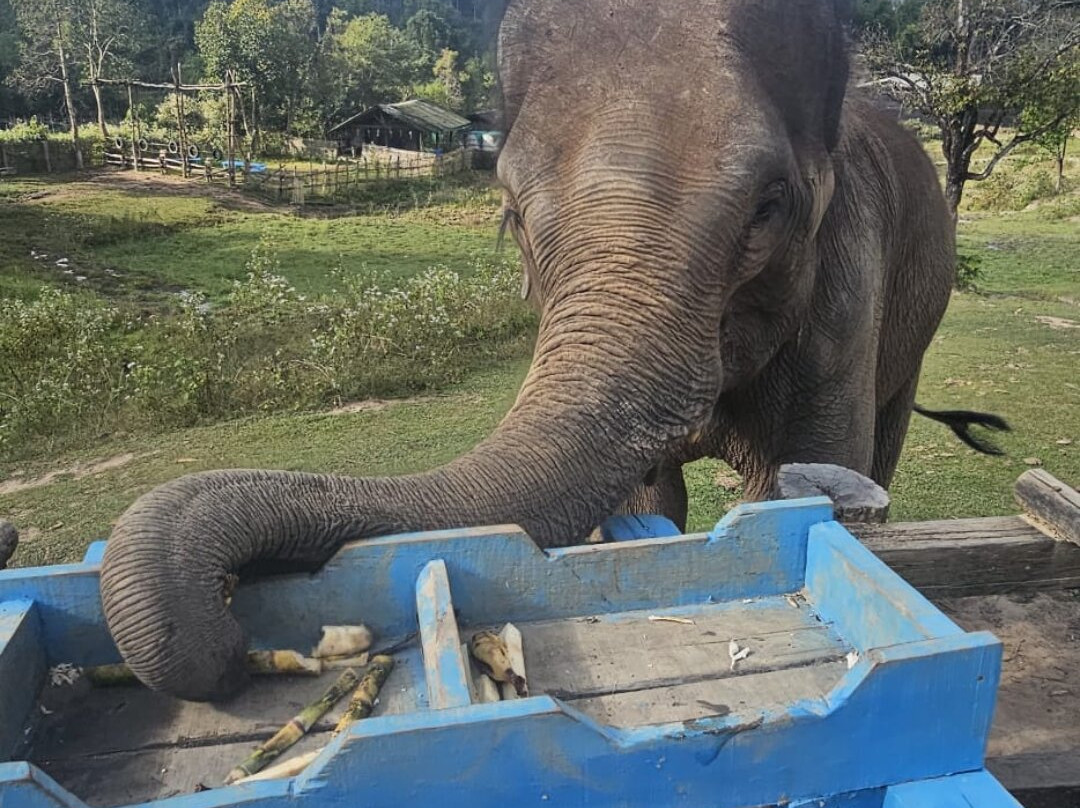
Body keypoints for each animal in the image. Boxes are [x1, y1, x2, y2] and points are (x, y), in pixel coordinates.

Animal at [99, 0, 1008, 701]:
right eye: (508, 209)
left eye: (768, 207)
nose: (227, 636)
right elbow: (648, 497)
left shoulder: (847, 287)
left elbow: (798, 482)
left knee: (885, 440)